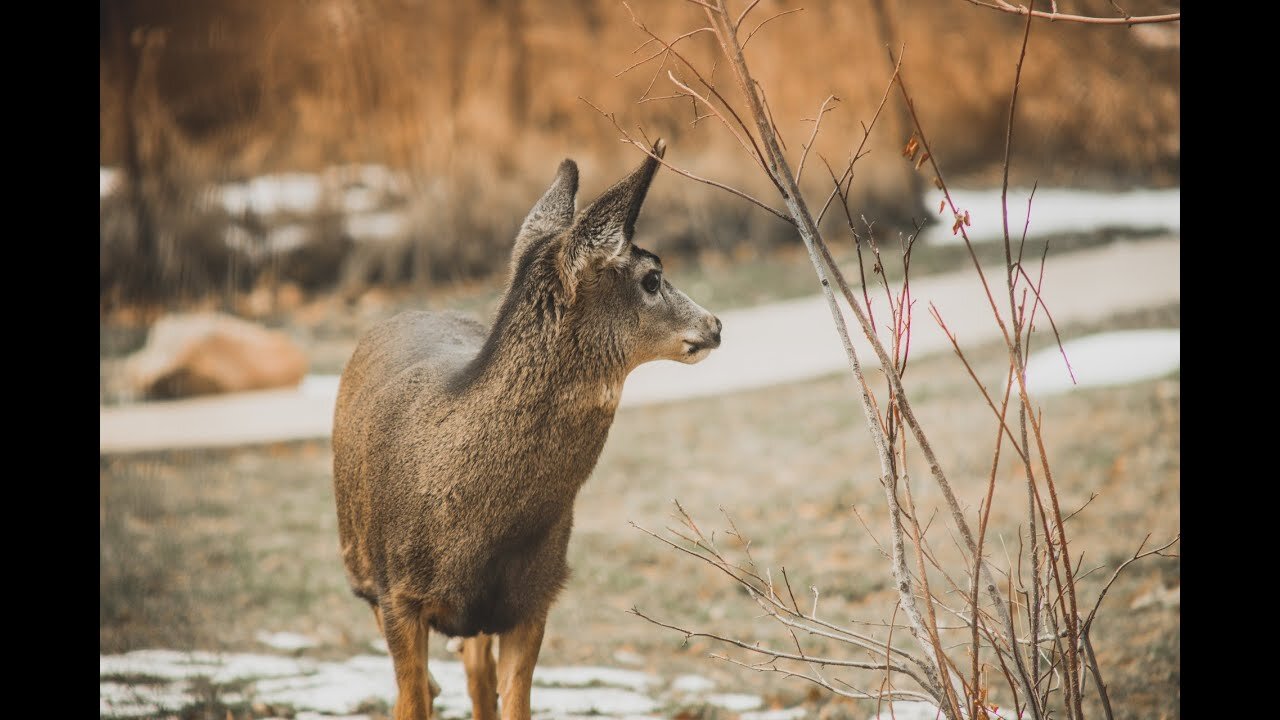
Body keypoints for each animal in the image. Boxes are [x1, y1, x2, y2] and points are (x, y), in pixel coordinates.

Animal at [332, 137, 721, 712]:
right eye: (652, 278)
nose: (715, 324)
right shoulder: (397, 594)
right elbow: (412, 699)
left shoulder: (536, 596)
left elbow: (512, 701)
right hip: (361, 567)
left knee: (477, 676)